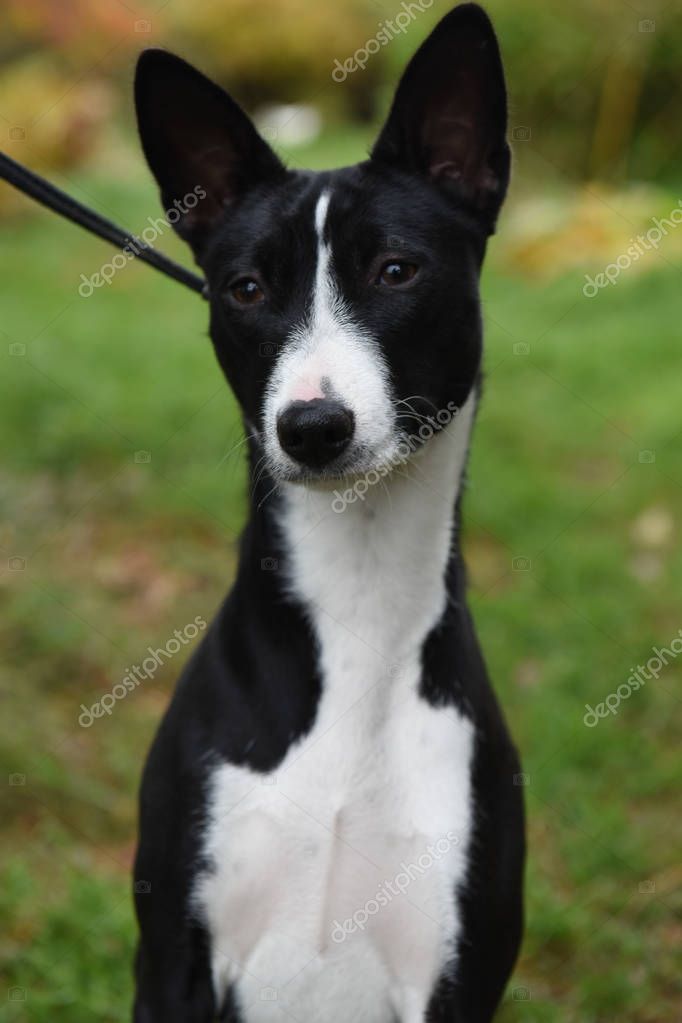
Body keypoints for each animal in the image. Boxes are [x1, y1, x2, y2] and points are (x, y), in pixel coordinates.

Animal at [132, 3, 527, 1018]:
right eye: (245, 288)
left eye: (395, 271)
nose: (313, 425)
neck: (361, 607)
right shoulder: (176, 957)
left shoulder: (456, 974)